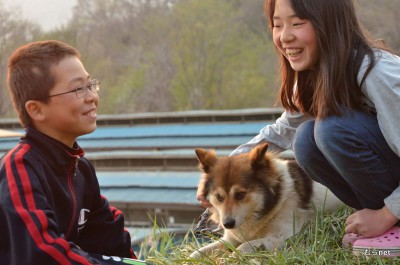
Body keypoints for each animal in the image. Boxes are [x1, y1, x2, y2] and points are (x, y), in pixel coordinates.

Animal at [191, 143, 344, 256]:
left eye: (240, 194)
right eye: (218, 196)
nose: (227, 224)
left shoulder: (284, 236)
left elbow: (243, 246)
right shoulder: (229, 239)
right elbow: (197, 252)